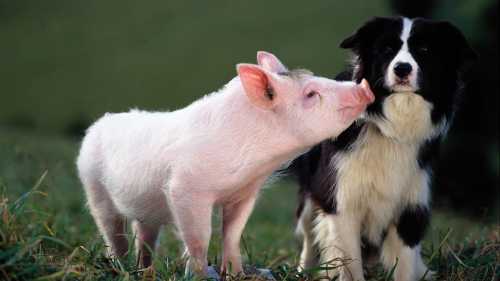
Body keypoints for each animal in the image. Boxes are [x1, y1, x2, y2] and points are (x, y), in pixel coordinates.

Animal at [292, 16, 476, 278]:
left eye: (424, 50)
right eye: (387, 50)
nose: (402, 69)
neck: (392, 127)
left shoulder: (411, 208)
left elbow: (405, 266)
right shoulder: (342, 202)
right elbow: (349, 265)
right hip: (312, 194)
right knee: (308, 233)